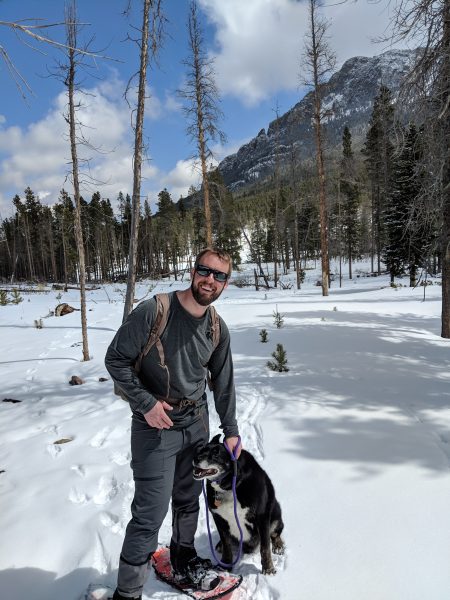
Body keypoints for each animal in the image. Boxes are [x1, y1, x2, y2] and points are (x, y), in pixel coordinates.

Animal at [193, 434, 284, 576]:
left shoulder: (262, 517)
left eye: (216, 454)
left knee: (275, 533)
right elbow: (227, 545)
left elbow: (265, 547)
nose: (195, 458)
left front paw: (268, 569)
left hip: (276, 514)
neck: (230, 485)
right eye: (202, 449)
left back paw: (278, 545)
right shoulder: (218, 518)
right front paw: (225, 566)